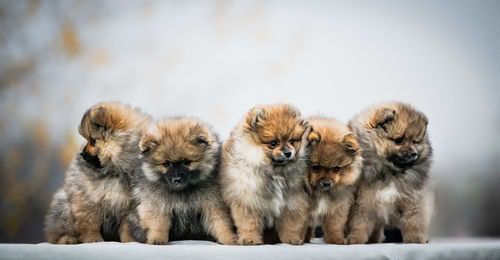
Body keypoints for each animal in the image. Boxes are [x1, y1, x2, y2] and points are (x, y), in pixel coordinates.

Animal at [44, 101, 150, 244]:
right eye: (87, 139)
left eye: (93, 140)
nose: (82, 153)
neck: (115, 170)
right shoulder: (88, 199)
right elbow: (90, 225)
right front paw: (93, 239)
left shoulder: (130, 206)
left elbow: (128, 226)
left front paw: (130, 241)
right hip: (64, 207)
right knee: (58, 232)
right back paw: (67, 239)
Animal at [126, 117, 237, 245]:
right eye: (167, 164)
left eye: (186, 162)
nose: (177, 179)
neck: (182, 191)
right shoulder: (158, 203)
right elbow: (158, 222)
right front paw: (157, 239)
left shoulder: (212, 203)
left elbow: (220, 223)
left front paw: (230, 239)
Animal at [220, 104, 310, 246]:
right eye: (273, 143)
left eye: (292, 141)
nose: (288, 153)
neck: (275, 174)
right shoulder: (248, 201)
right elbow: (249, 224)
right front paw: (249, 239)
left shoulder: (293, 201)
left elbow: (291, 224)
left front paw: (292, 239)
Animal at [302, 117, 362, 245]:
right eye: (316, 167)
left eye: (336, 169)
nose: (327, 183)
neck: (320, 192)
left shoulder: (336, 206)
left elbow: (334, 225)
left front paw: (336, 239)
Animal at [346, 101, 432, 244]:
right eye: (399, 140)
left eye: (415, 141)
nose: (414, 154)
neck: (390, 172)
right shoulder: (363, 200)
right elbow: (359, 221)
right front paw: (355, 238)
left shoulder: (412, 198)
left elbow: (412, 220)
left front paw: (415, 238)